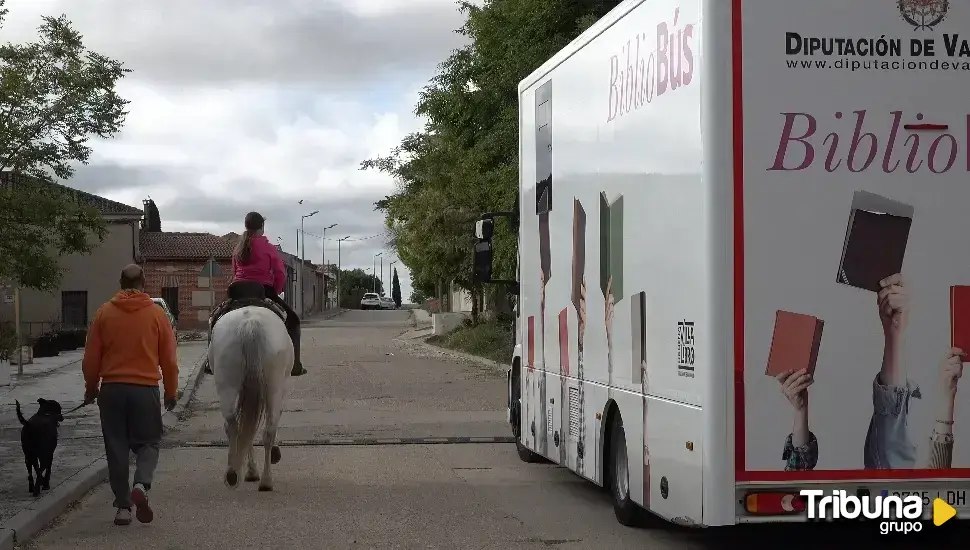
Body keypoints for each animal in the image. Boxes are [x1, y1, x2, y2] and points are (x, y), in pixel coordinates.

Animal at [208, 306, 292, 492]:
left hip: (226, 386)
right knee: (267, 429)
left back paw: (232, 474)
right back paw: (266, 480)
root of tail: (249, 323)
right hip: (274, 386)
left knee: (236, 426)